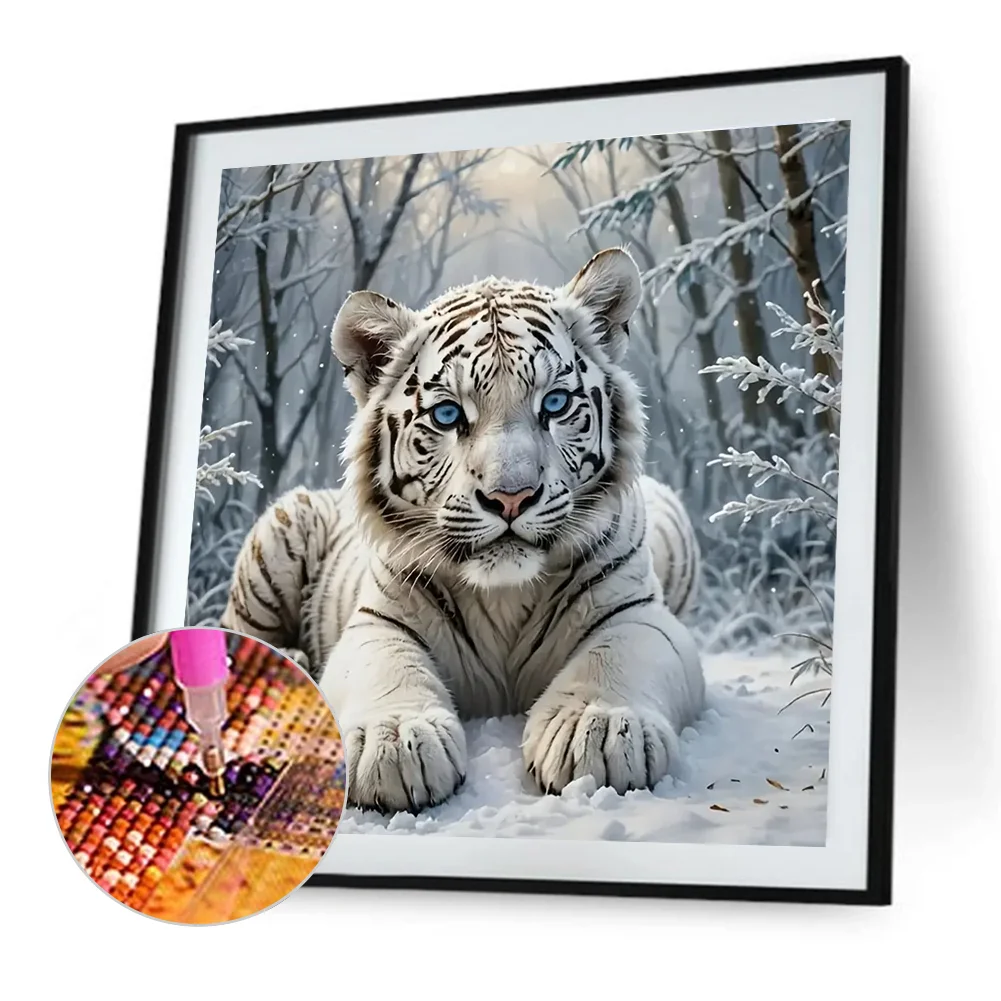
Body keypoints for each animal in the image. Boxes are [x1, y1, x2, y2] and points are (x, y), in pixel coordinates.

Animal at [220, 247, 705, 813]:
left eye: (555, 404)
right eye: (449, 414)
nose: (511, 496)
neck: (505, 593)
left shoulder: (638, 613)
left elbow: (615, 659)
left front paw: (598, 728)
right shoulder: (379, 620)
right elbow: (387, 667)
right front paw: (396, 741)